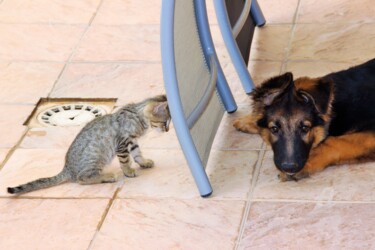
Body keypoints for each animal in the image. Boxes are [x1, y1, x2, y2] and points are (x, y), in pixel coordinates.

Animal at [7, 94, 170, 194]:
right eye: (165, 123)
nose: (167, 131)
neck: (138, 116)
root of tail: (67, 168)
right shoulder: (123, 143)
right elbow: (125, 161)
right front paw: (128, 171)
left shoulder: (133, 142)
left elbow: (137, 154)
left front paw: (144, 162)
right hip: (96, 158)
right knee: (82, 179)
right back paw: (107, 176)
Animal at [235, 58, 375, 181]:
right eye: (274, 129)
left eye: (305, 128)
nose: (289, 168)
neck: (335, 108)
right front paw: (249, 119)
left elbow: (334, 141)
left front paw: (309, 161)